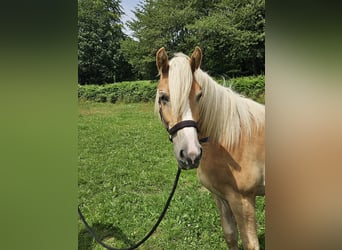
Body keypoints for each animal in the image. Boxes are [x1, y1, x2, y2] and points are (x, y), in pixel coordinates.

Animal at [155, 47, 264, 250]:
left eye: (199, 95)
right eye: (163, 97)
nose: (190, 154)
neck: (232, 140)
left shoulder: (243, 200)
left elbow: (251, 244)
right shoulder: (220, 197)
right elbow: (230, 235)